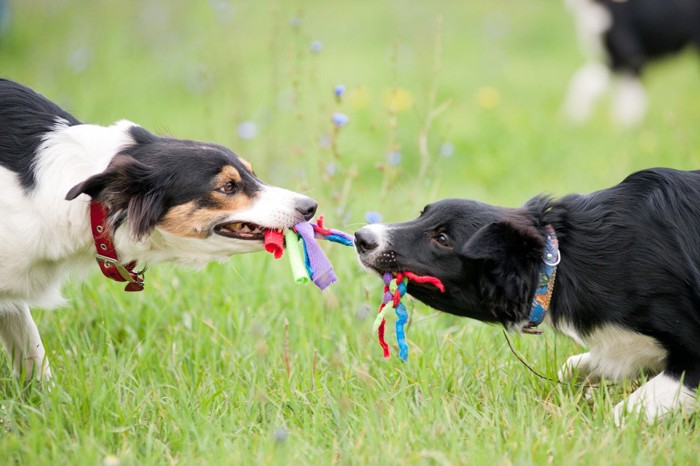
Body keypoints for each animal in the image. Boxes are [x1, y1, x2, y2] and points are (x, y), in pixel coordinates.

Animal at [358, 167, 696, 422]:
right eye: (421, 216)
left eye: (442, 238)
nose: (361, 237)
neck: (557, 263)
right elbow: (572, 366)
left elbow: (621, 415)